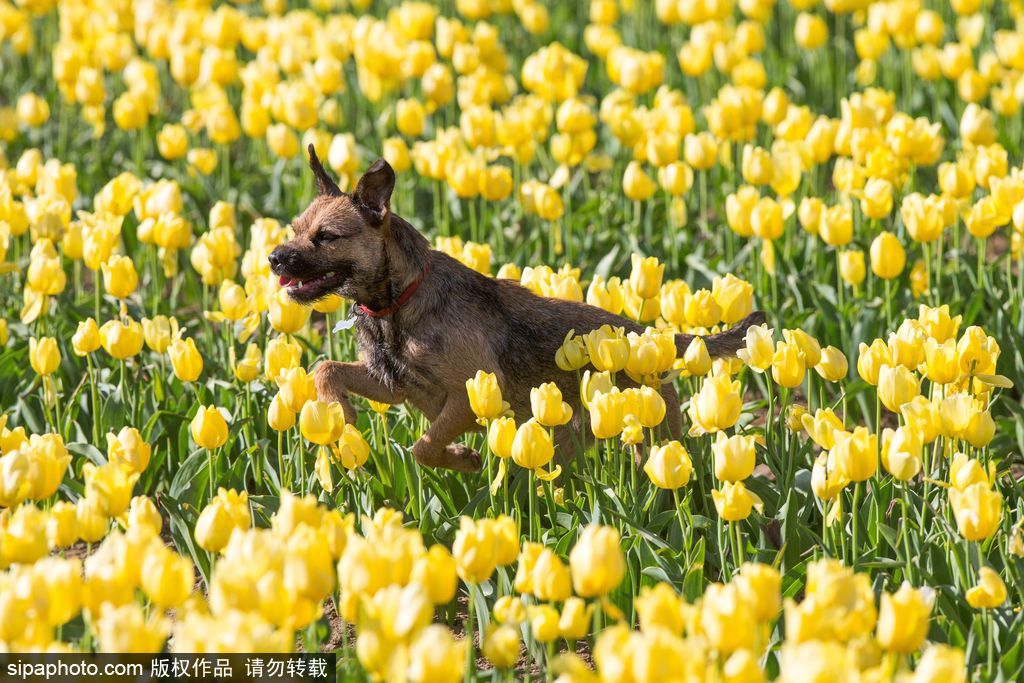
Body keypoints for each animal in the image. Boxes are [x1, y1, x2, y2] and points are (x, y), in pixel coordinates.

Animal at [268, 147, 765, 473]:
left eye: (327, 237)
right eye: (295, 229)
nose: (274, 257)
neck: (396, 304)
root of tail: (650, 337)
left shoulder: (464, 400)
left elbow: (423, 448)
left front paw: (462, 459)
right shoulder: (393, 386)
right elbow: (325, 368)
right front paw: (340, 414)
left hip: (651, 437)